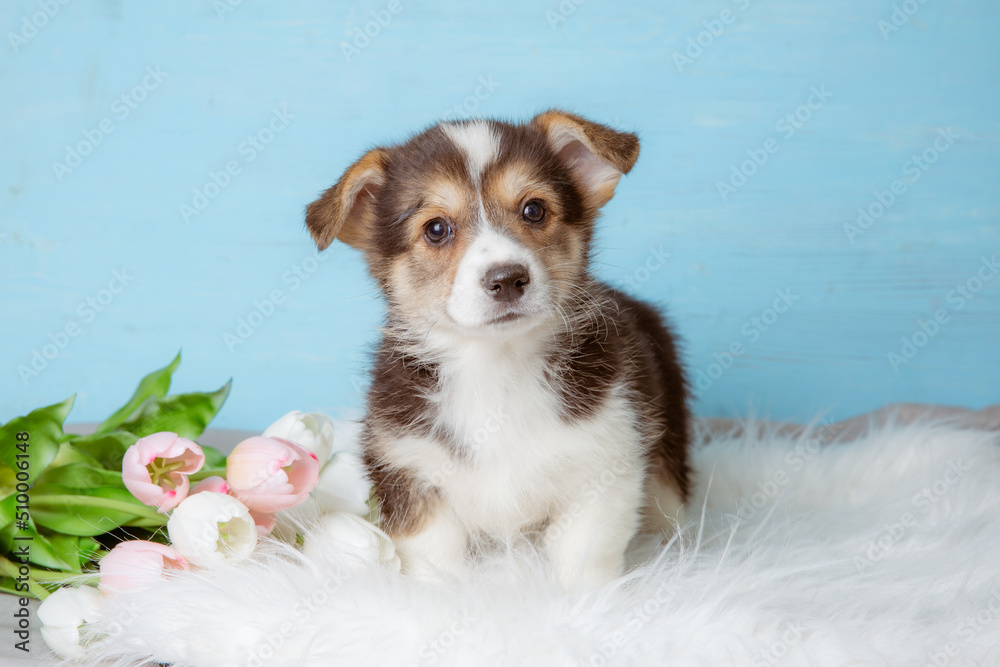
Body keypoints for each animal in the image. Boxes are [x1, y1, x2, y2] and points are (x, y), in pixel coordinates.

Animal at [304, 112, 692, 588]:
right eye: (436, 229)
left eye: (534, 210)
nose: (507, 278)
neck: (497, 365)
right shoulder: (412, 472)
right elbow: (436, 559)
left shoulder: (603, 467)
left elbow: (584, 556)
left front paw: (588, 601)